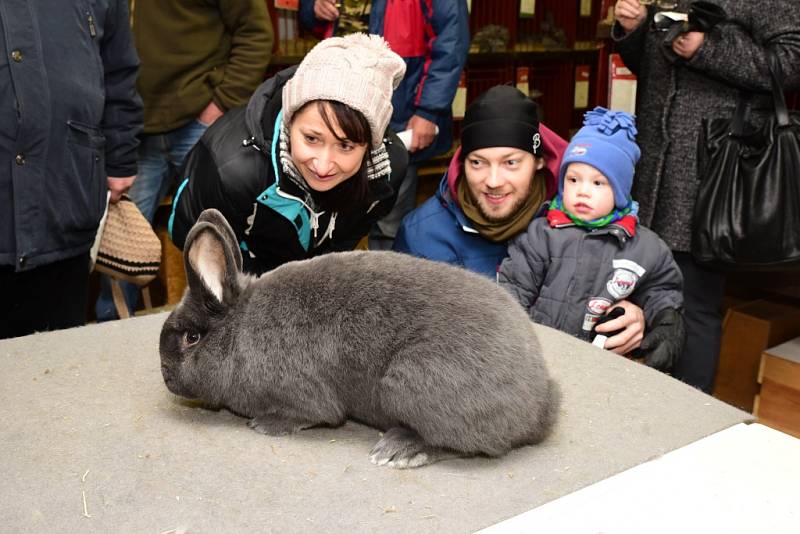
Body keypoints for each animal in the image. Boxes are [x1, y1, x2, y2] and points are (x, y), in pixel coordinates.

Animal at [159, 209, 560, 468]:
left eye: (191, 338)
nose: (166, 376)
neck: (239, 330)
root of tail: (540, 408)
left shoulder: (304, 399)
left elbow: (307, 415)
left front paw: (265, 425)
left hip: (410, 381)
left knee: (463, 444)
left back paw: (399, 450)